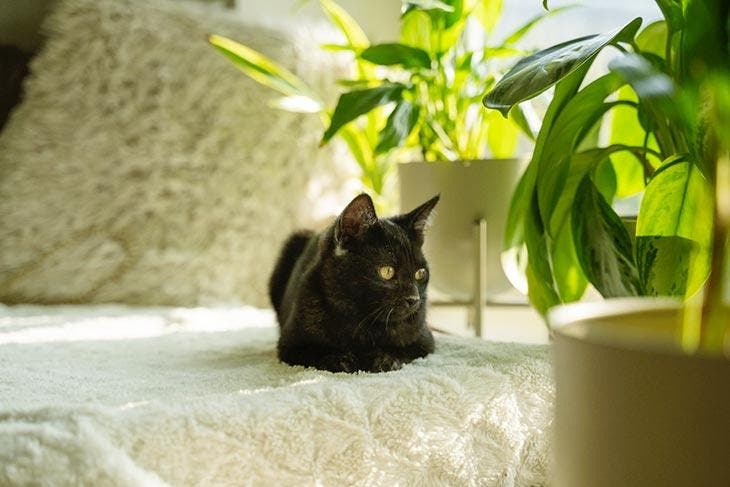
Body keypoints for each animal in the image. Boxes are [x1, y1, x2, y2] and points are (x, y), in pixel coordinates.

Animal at [268, 194, 438, 374]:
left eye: (420, 273)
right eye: (387, 271)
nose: (414, 299)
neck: (362, 320)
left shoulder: (425, 341)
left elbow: (404, 348)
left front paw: (385, 358)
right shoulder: (290, 345)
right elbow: (314, 352)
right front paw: (339, 359)